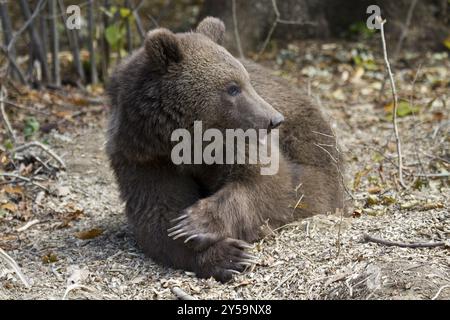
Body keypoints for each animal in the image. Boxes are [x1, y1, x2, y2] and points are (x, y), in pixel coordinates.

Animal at [106, 16, 344, 282]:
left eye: (246, 82)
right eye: (232, 88)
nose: (274, 119)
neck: (184, 141)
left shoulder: (235, 143)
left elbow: (264, 182)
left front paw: (196, 223)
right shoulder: (143, 158)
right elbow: (156, 215)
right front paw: (225, 255)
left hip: (315, 155)